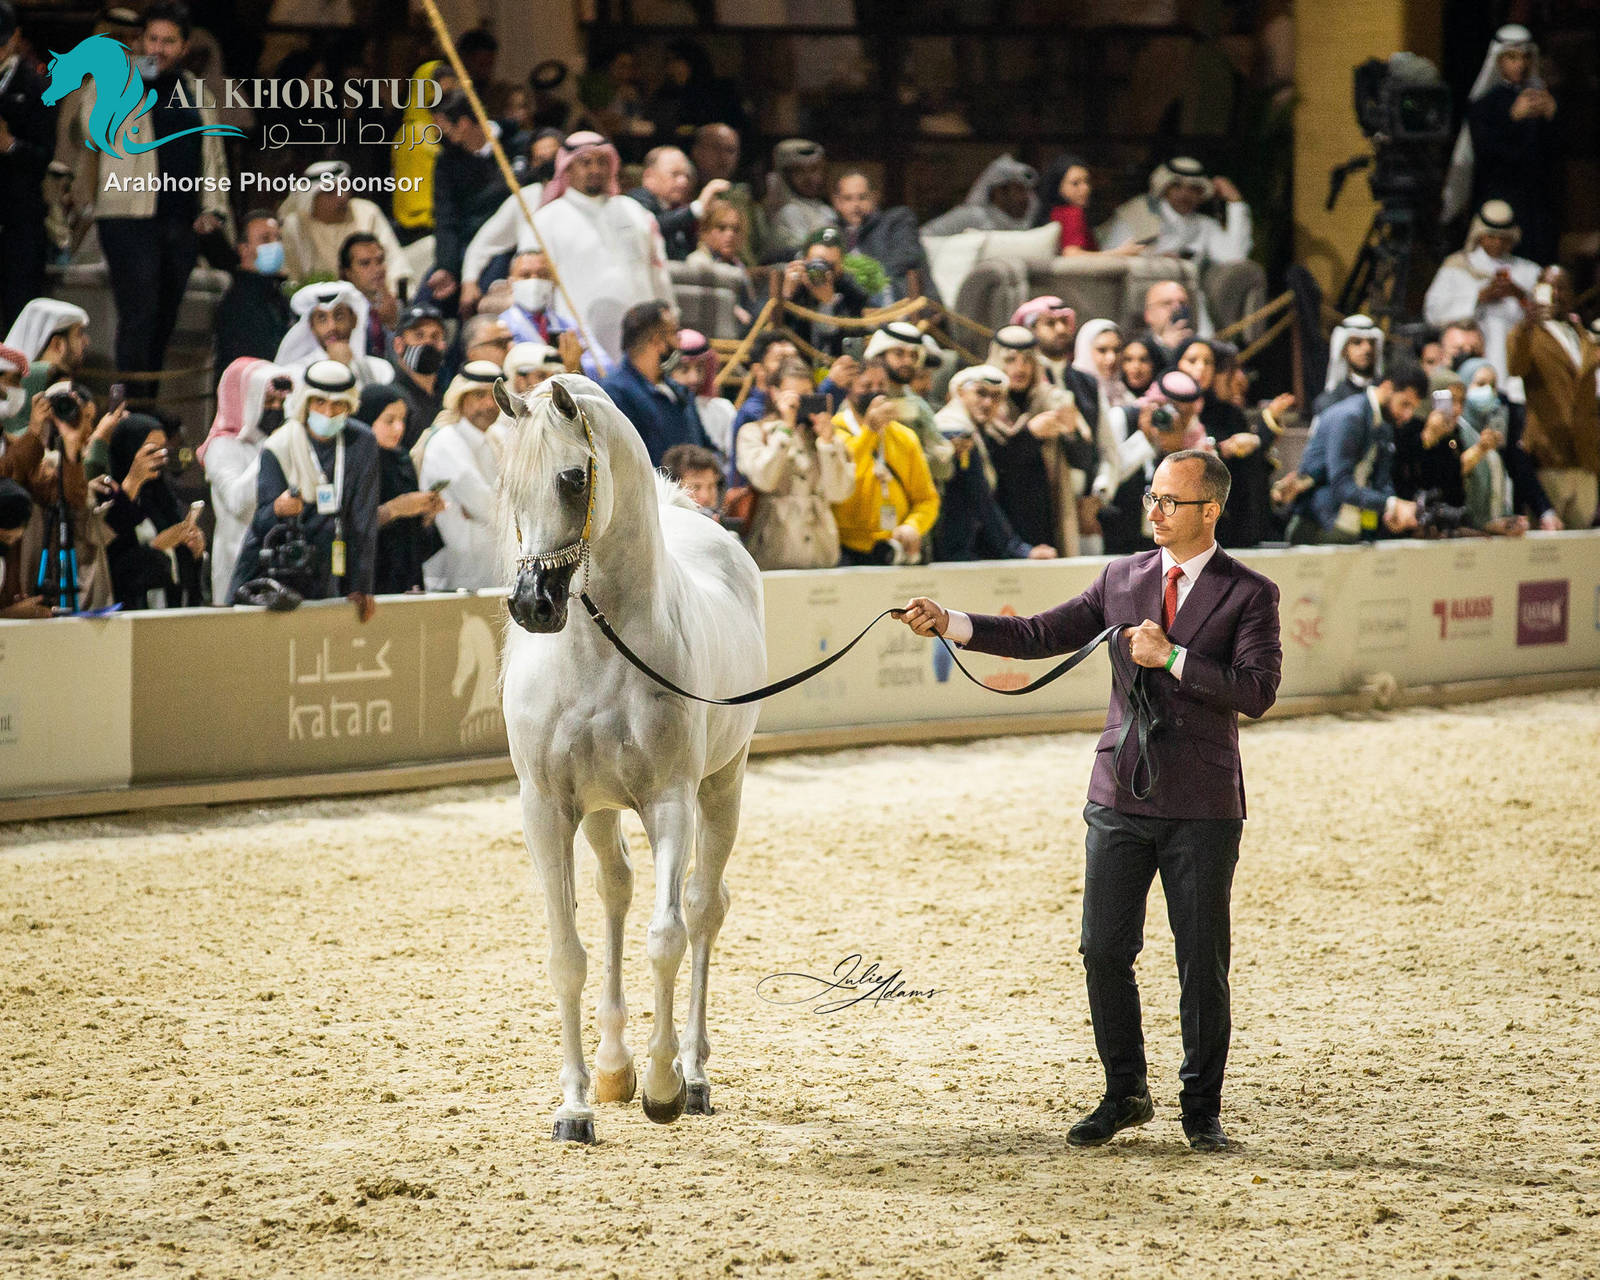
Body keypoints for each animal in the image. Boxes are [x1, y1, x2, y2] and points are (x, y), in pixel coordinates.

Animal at [493, 373, 765, 1144]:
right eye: (507, 483)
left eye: (572, 477)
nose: (533, 605)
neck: (599, 652)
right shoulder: (546, 808)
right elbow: (567, 956)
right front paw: (576, 1106)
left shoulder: (670, 802)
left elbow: (666, 936)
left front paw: (664, 1085)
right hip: (600, 810)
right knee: (614, 892)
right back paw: (614, 1069)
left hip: (723, 786)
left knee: (704, 907)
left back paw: (693, 1074)